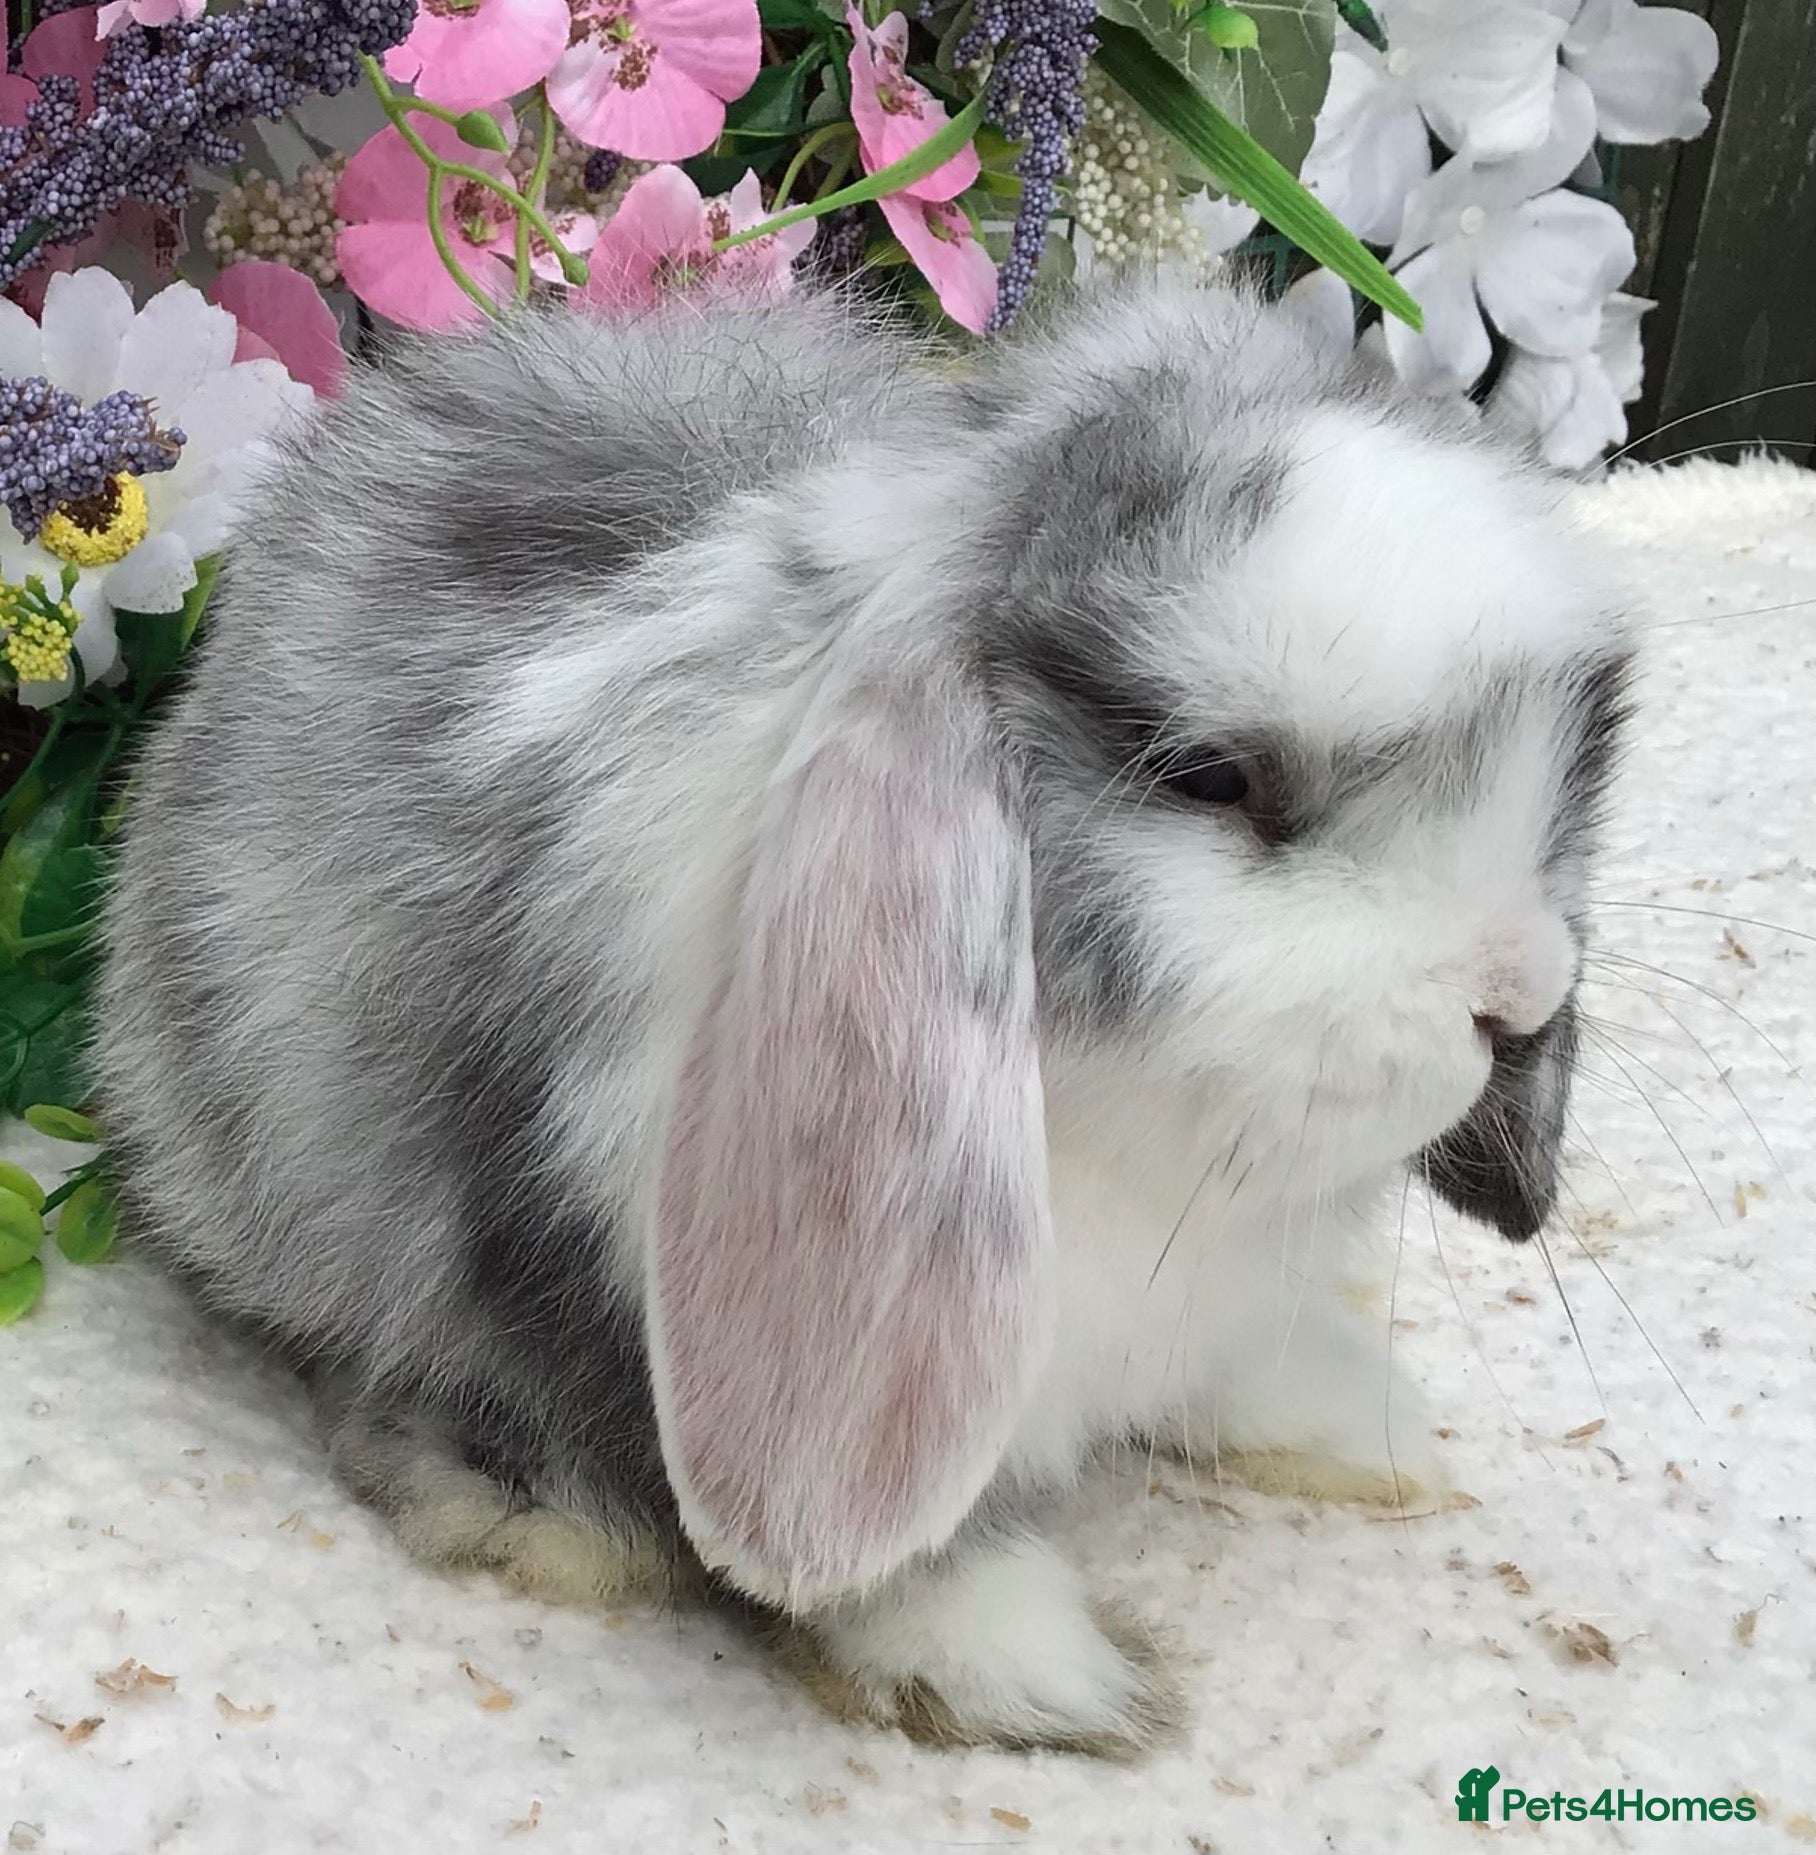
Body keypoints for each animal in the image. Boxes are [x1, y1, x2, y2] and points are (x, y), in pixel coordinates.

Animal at [93, 274, 1634, 1755]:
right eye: (1209, 775)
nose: (1514, 992)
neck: (1136, 1142)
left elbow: (1235, 1359)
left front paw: (1360, 1424)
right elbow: (907, 1548)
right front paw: (1028, 1669)